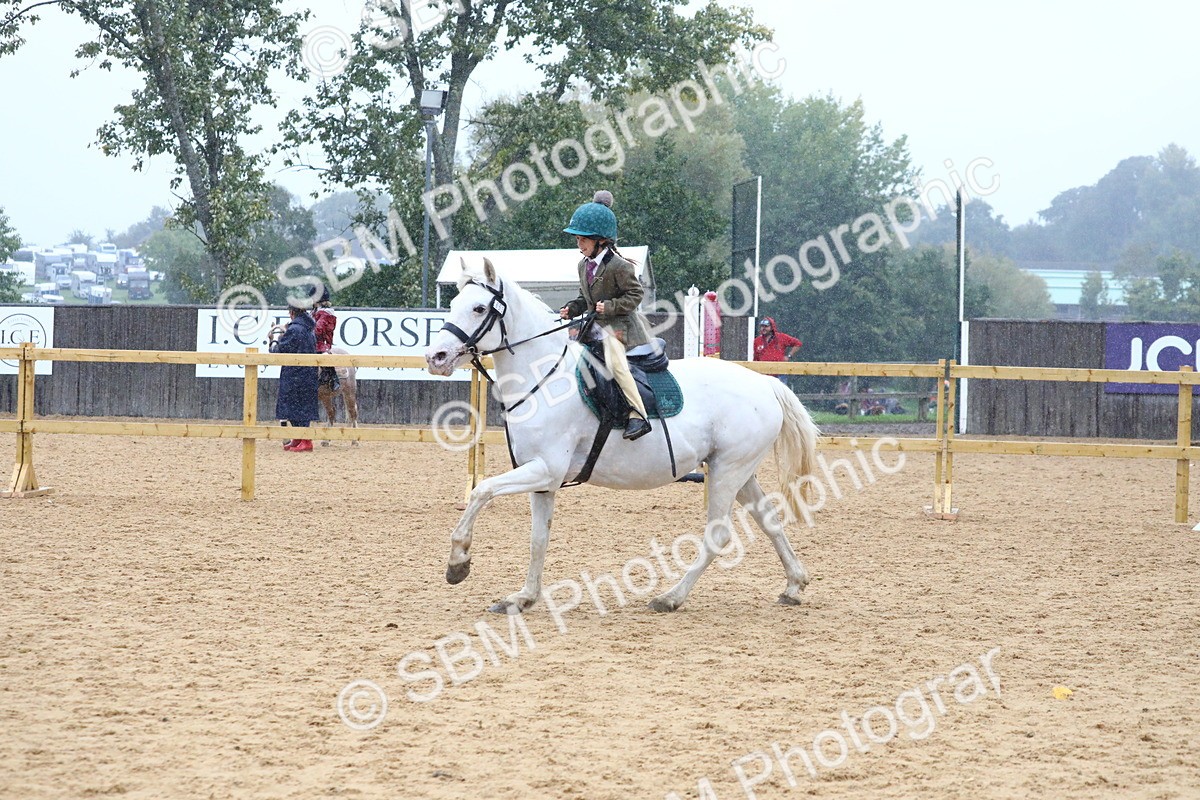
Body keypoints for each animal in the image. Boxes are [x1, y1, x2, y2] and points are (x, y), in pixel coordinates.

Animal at [424, 258, 820, 614]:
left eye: (478, 308)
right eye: (453, 305)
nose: (435, 356)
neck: (544, 379)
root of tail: (765, 384)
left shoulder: (545, 469)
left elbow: (481, 490)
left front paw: (458, 563)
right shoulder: (543, 481)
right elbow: (538, 539)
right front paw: (523, 598)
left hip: (727, 472)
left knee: (717, 535)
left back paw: (670, 598)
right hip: (738, 472)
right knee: (769, 521)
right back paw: (794, 585)